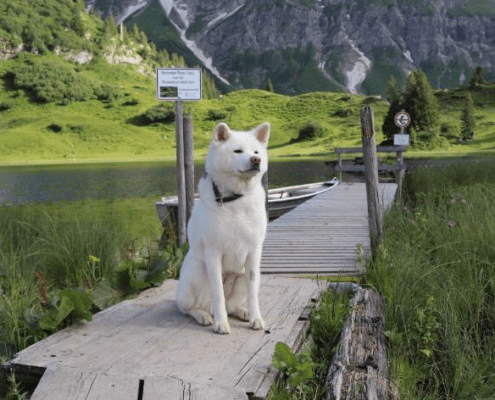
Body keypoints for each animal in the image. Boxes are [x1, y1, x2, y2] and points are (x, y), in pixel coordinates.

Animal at [176, 122, 272, 334]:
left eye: (256, 151)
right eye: (237, 151)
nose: (256, 160)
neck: (234, 199)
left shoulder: (254, 254)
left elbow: (253, 293)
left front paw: (256, 318)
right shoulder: (213, 253)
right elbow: (218, 294)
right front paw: (221, 323)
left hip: (242, 275)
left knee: (231, 305)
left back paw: (242, 312)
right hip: (198, 271)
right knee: (188, 308)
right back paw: (204, 316)